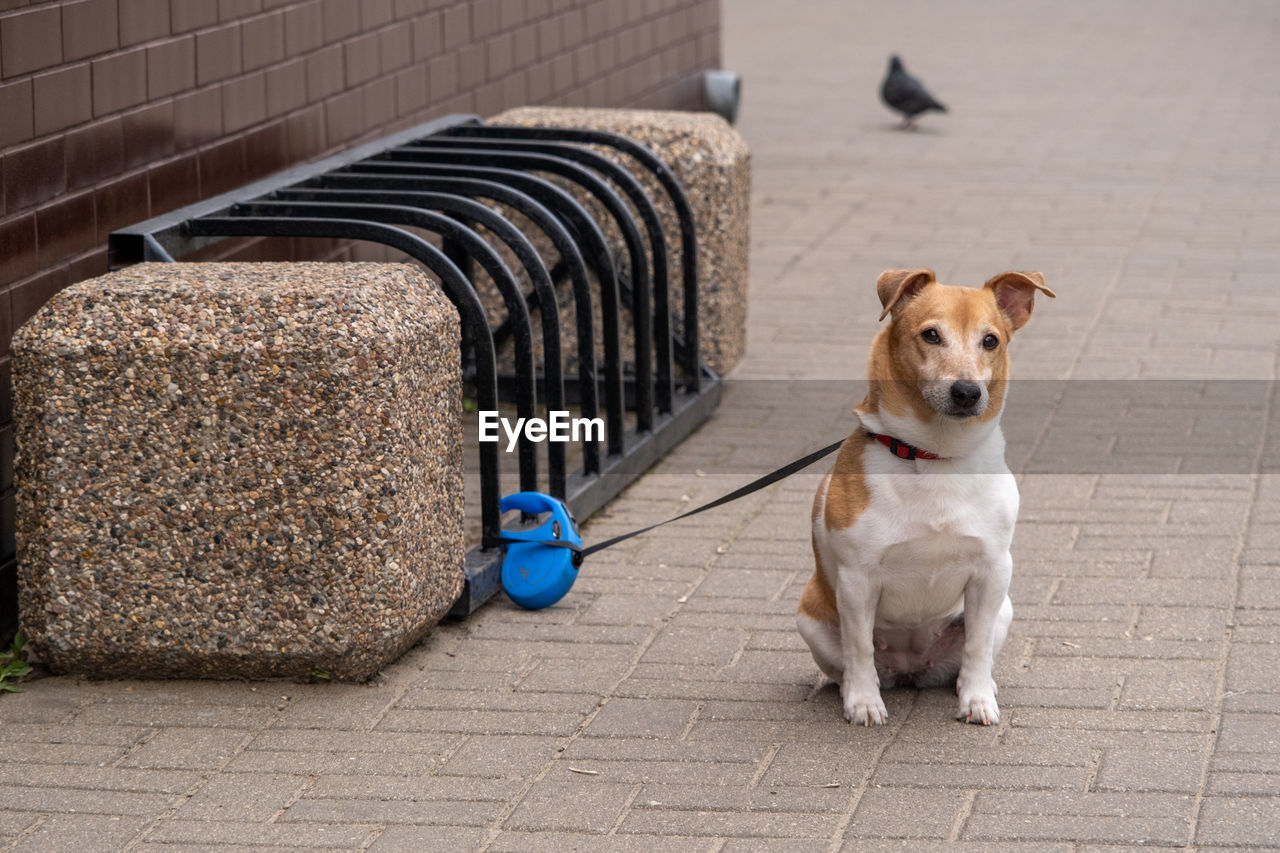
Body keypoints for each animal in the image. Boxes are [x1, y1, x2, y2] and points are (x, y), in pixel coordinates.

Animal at [793, 267, 1054, 722]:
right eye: (931, 335)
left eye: (991, 341)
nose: (967, 392)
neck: (934, 456)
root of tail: (910, 667)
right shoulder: (857, 580)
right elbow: (859, 648)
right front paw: (863, 702)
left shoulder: (992, 572)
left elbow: (977, 646)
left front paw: (978, 699)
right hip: (811, 619)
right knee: (850, 661)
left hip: (1004, 608)